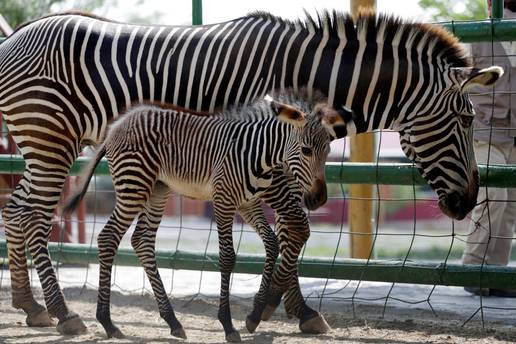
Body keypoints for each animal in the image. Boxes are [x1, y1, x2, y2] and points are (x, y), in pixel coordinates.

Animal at [63, 97, 346, 342]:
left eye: (327, 150)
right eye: (306, 150)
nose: (319, 199)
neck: (258, 156)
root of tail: (118, 125)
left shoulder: (248, 204)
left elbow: (273, 244)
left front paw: (255, 315)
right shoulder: (223, 201)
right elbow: (228, 257)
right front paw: (228, 325)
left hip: (157, 189)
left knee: (141, 241)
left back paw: (172, 321)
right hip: (135, 184)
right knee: (108, 237)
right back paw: (108, 322)